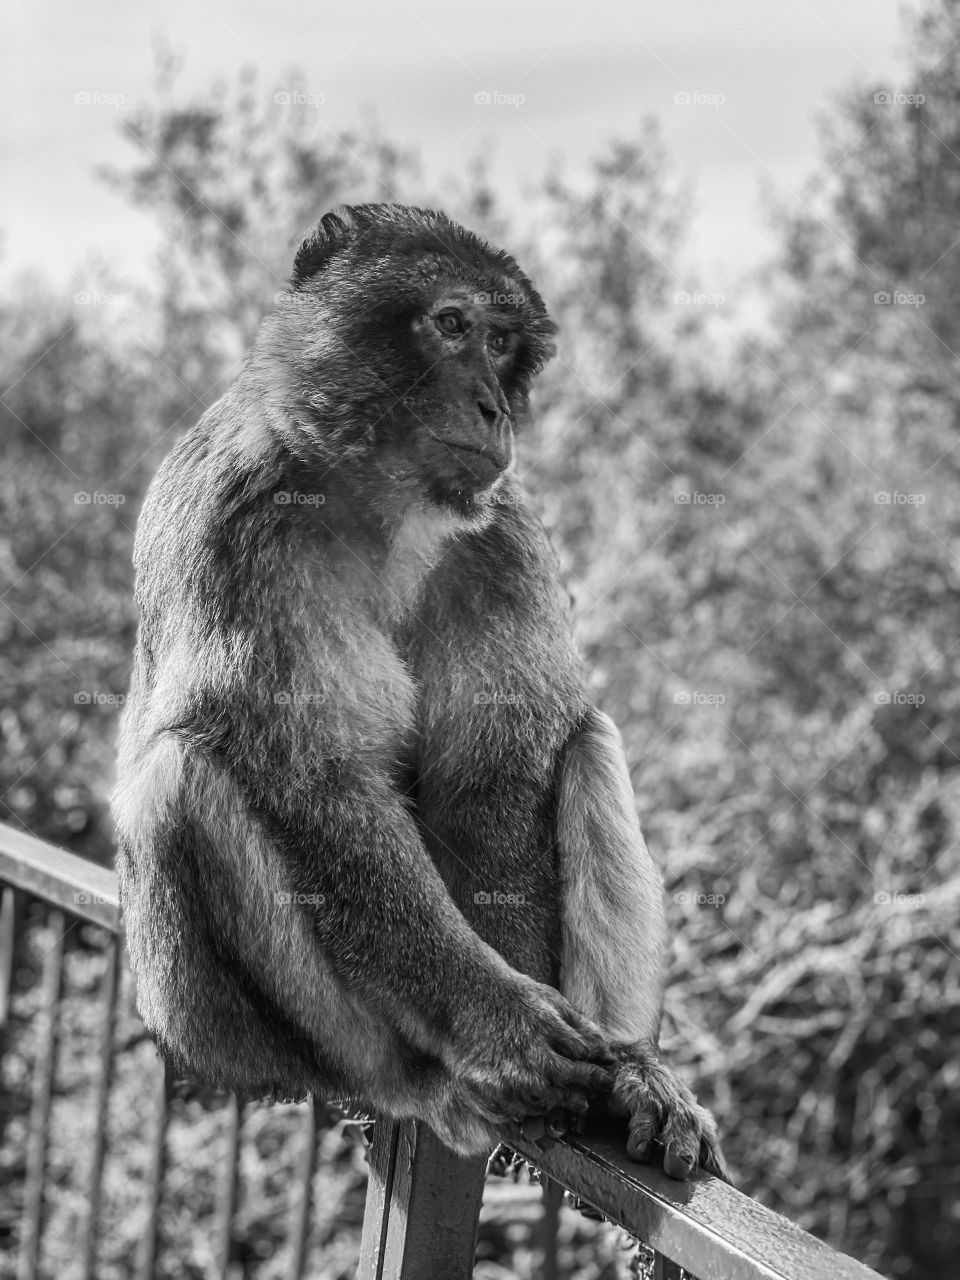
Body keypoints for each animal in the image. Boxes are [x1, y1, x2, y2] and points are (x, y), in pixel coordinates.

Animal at [112, 203, 726, 1181]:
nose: (493, 407)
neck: (380, 504)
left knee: (585, 736)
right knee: (185, 774)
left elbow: (498, 769)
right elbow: (316, 778)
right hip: (234, 1032)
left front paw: (567, 1040)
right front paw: (499, 1025)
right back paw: (431, 1080)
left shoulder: (503, 532)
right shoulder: (238, 516)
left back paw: (635, 1068)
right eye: (452, 324)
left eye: (503, 342)